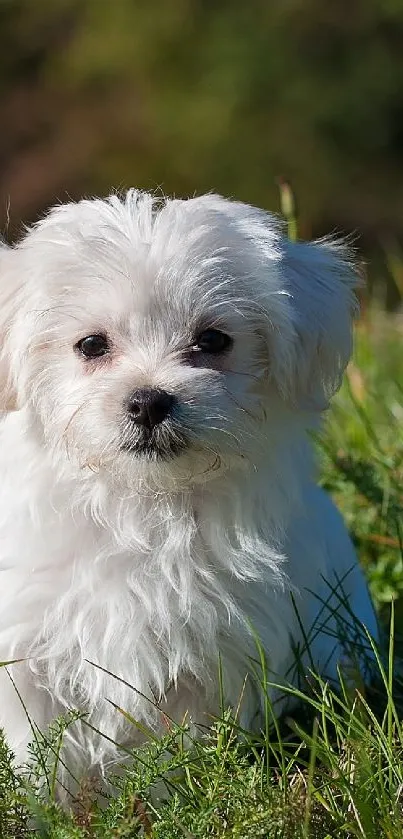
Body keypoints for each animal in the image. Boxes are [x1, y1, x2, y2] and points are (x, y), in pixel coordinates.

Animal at [0, 190, 376, 796]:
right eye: (91, 345)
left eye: (213, 340)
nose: (148, 400)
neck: (146, 505)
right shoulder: (27, 648)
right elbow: (36, 753)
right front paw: (44, 808)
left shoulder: (218, 655)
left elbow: (183, 752)